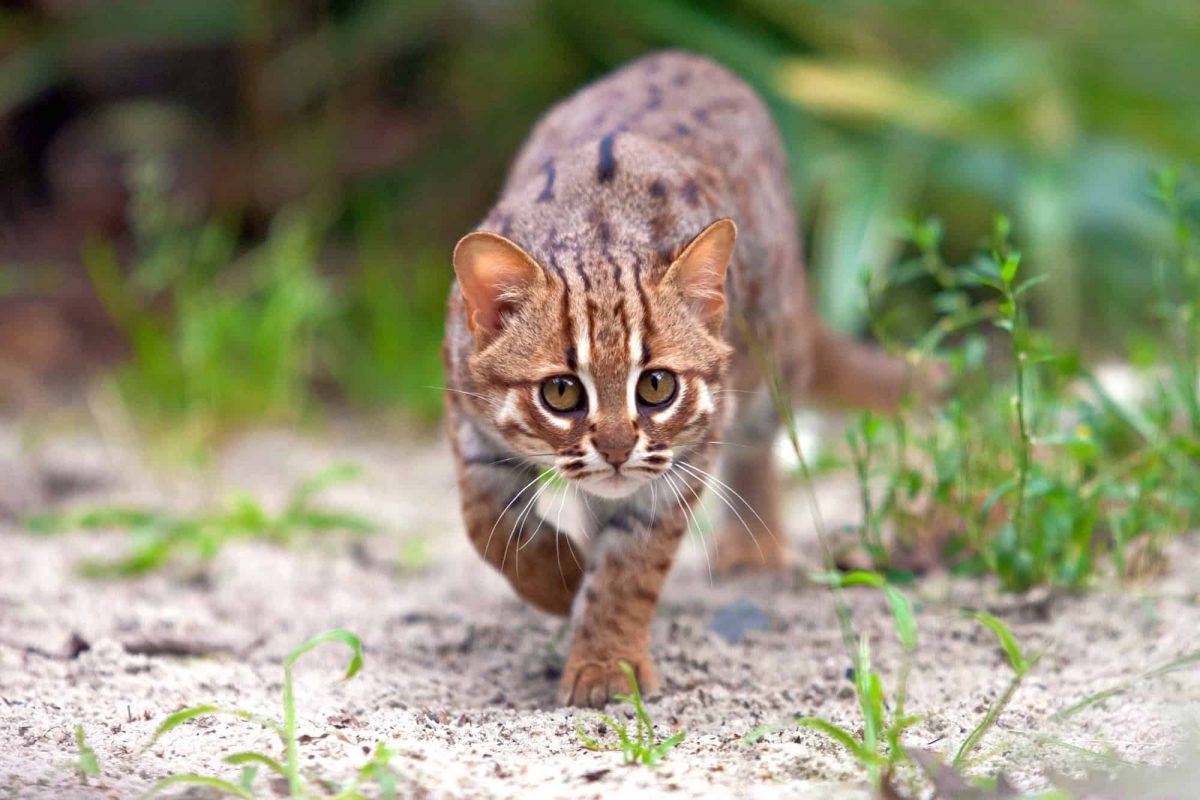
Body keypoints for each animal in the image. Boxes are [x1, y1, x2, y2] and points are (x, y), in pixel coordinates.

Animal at [446, 51, 912, 705]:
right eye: (561, 392)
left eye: (657, 386)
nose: (617, 452)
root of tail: (686, 56)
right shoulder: (470, 422)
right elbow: (486, 523)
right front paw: (561, 581)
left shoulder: (684, 457)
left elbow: (632, 568)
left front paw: (606, 661)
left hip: (769, 360)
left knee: (761, 443)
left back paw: (754, 548)